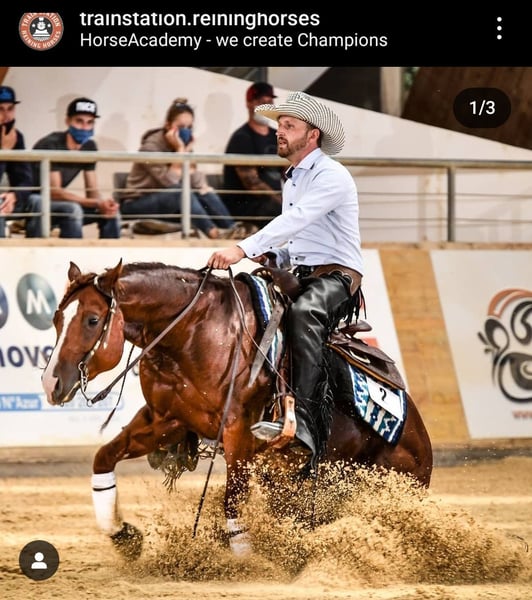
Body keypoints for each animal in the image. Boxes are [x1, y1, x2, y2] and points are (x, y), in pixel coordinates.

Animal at [41, 260, 433, 557]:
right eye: (57, 319)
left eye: (92, 320)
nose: (51, 383)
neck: (194, 330)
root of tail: (422, 443)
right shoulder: (166, 420)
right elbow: (104, 458)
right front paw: (122, 534)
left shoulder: (239, 430)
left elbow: (233, 500)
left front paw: (247, 564)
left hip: (384, 484)